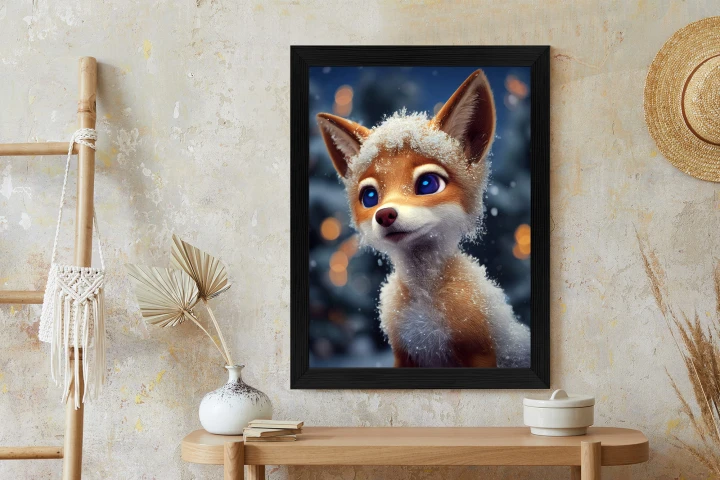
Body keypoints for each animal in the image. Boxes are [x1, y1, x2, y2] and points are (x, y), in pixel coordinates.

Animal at [316, 69, 530, 368]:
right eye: (369, 197)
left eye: (428, 184)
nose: (385, 215)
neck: (424, 303)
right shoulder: (405, 353)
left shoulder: (478, 350)